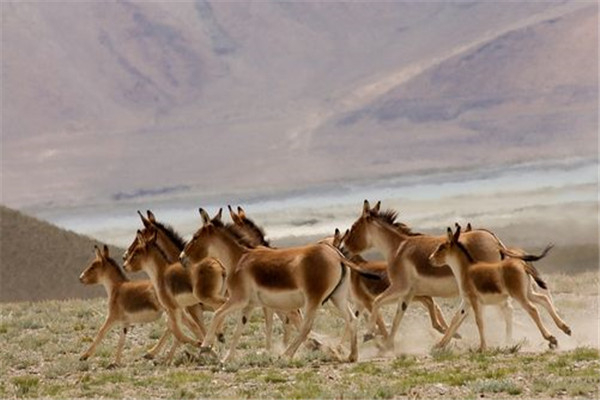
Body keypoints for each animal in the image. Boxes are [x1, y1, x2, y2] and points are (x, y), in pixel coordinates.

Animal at [178, 209, 356, 362]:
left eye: (195, 237)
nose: (181, 258)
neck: (238, 259)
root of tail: (336, 254)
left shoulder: (238, 299)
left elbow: (217, 314)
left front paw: (205, 347)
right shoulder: (249, 305)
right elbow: (238, 330)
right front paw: (226, 358)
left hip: (313, 298)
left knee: (306, 327)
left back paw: (286, 355)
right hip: (337, 297)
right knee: (351, 319)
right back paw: (351, 356)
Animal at [342, 200, 510, 350]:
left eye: (353, 227)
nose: (343, 250)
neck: (397, 249)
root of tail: (494, 240)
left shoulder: (399, 287)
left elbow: (377, 302)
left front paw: (369, 335)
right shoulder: (407, 293)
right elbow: (398, 316)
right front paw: (388, 345)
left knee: (503, 309)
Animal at [428, 225, 568, 350]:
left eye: (441, 247)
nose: (430, 259)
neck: (466, 269)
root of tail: (522, 264)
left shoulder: (475, 300)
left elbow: (479, 322)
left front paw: (482, 348)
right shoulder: (466, 302)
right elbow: (455, 320)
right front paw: (439, 345)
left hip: (519, 295)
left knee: (533, 309)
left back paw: (550, 337)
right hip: (528, 292)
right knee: (544, 299)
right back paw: (564, 329)